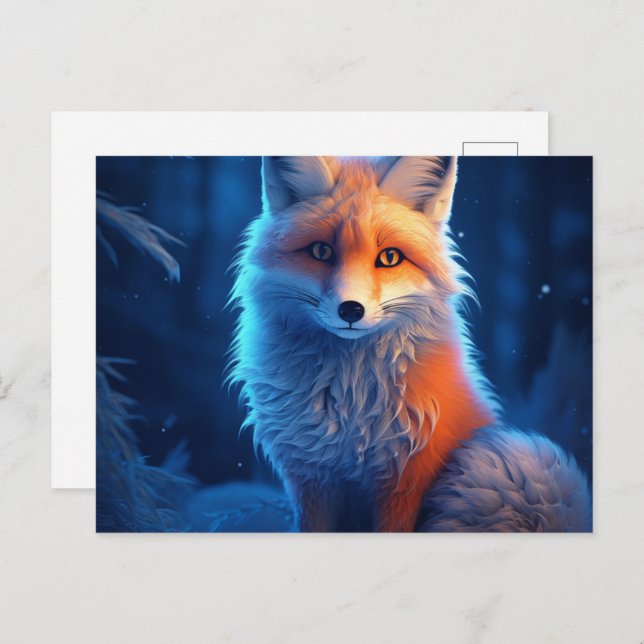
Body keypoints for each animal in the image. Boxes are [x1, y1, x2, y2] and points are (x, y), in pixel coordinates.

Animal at [229, 155, 504, 532]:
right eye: (321, 251)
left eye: (390, 257)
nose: (350, 310)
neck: (350, 406)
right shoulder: (310, 478)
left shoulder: (405, 478)